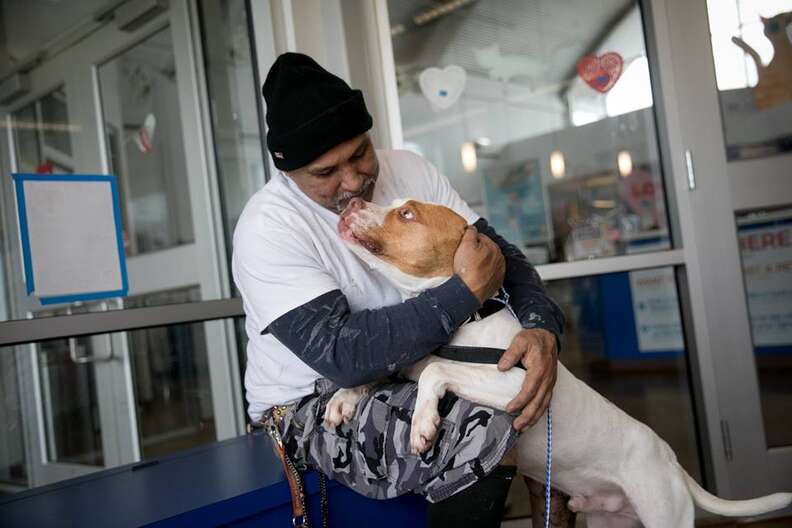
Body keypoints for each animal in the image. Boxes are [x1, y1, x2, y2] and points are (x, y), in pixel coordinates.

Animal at [324, 196, 792, 524]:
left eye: (406, 213)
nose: (352, 203)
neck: (466, 320)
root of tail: (671, 460)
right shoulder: (410, 360)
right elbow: (384, 370)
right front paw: (343, 399)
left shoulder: (514, 384)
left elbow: (438, 370)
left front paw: (422, 423)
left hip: (665, 515)